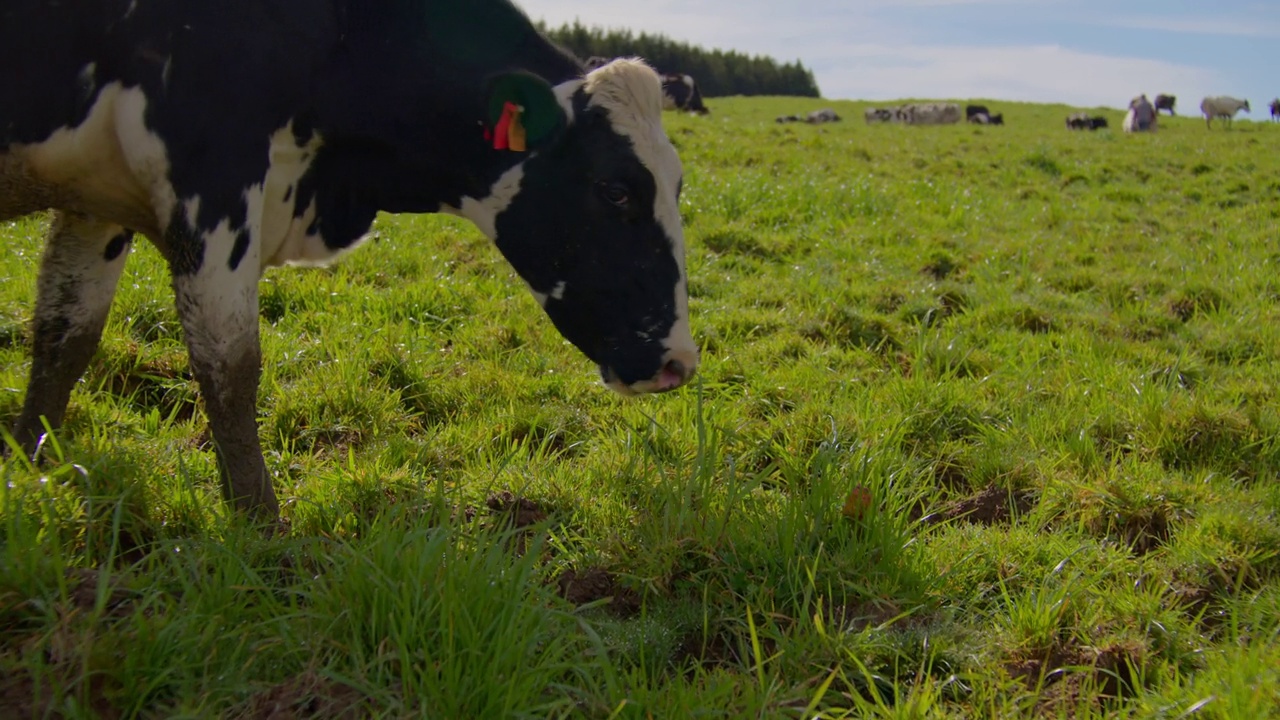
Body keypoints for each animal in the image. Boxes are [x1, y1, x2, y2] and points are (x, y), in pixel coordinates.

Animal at [2, 0, 701, 517]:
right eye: (616, 190)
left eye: (678, 183)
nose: (679, 363)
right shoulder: (215, 176)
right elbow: (230, 367)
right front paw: (259, 527)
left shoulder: (96, 203)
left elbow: (65, 337)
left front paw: (32, 470)